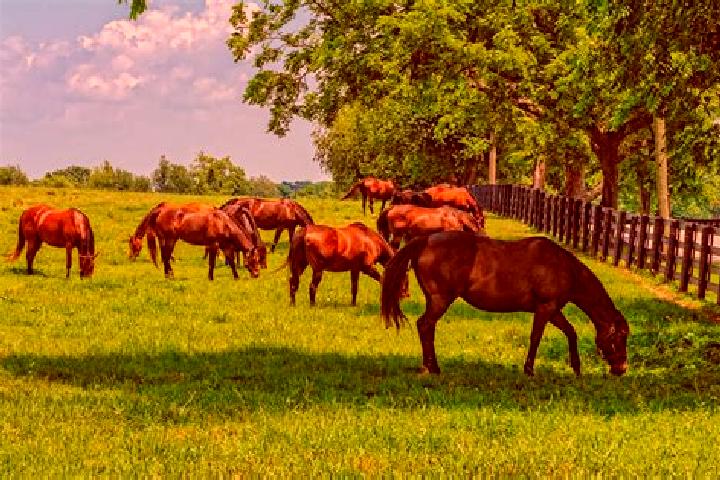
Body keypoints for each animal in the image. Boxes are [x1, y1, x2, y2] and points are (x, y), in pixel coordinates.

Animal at [381, 232, 629, 377]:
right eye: (620, 337)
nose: (621, 369)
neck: (563, 267)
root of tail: (426, 240)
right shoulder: (545, 309)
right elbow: (536, 338)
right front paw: (529, 370)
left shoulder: (553, 310)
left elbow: (570, 332)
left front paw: (576, 368)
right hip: (440, 300)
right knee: (425, 325)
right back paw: (433, 367)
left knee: (426, 327)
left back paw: (428, 366)